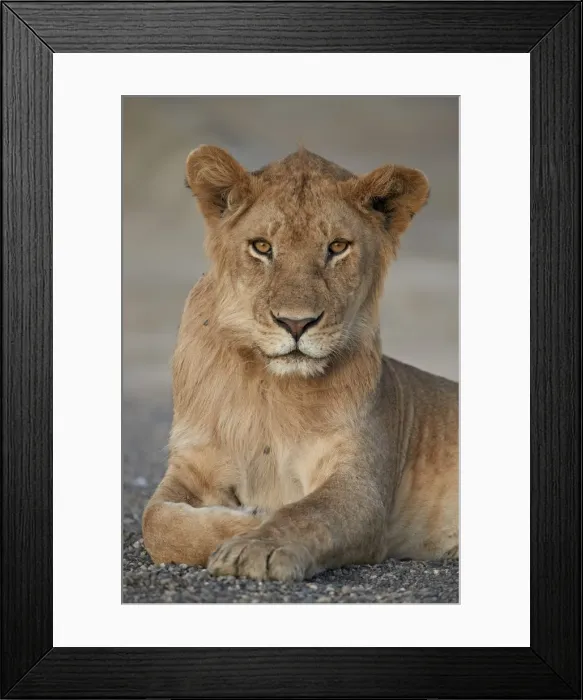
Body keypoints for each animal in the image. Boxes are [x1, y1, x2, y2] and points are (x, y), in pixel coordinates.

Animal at [142, 145, 458, 581]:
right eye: (261, 247)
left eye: (337, 247)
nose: (296, 323)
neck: (270, 389)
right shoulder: (193, 462)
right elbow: (155, 523)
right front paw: (249, 520)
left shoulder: (360, 486)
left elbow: (307, 514)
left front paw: (256, 545)